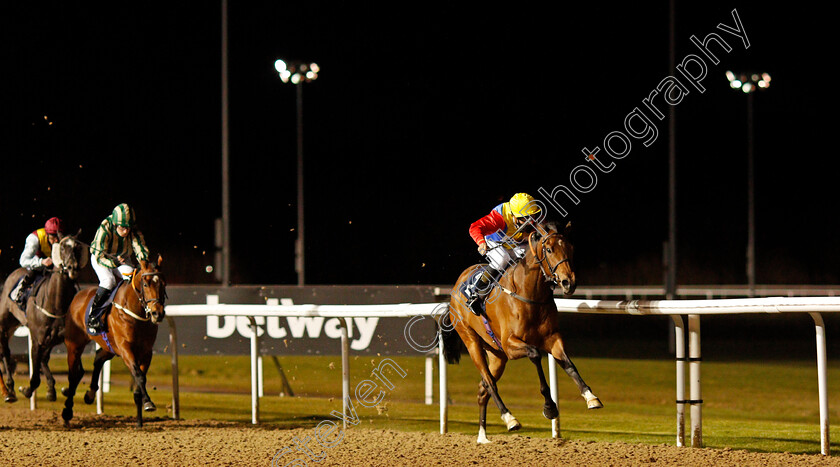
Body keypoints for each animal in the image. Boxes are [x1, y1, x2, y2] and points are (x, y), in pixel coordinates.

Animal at [0, 236, 86, 404]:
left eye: (78, 248)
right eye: (63, 247)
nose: (72, 268)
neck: (56, 304)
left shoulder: (67, 340)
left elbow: (78, 372)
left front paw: (64, 389)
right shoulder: (37, 339)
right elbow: (34, 377)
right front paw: (26, 390)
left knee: (44, 359)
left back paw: (50, 388)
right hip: (4, 325)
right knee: (6, 353)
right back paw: (9, 390)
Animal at [61, 254, 166, 430]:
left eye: (163, 284)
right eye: (146, 283)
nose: (157, 313)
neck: (134, 312)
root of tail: (79, 295)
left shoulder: (146, 352)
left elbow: (139, 383)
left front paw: (139, 420)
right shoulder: (125, 349)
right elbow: (139, 376)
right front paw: (149, 403)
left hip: (109, 347)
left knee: (97, 359)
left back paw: (90, 394)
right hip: (74, 345)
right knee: (74, 374)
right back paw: (67, 412)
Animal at [442, 221, 600, 444]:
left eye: (571, 248)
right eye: (549, 249)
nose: (569, 282)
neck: (530, 294)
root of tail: (457, 286)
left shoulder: (552, 338)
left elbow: (569, 364)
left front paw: (590, 397)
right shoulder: (510, 344)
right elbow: (535, 354)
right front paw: (549, 407)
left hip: (497, 355)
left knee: (482, 390)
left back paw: (483, 436)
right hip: (472, 342)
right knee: (489, 383)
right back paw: (509, 418)